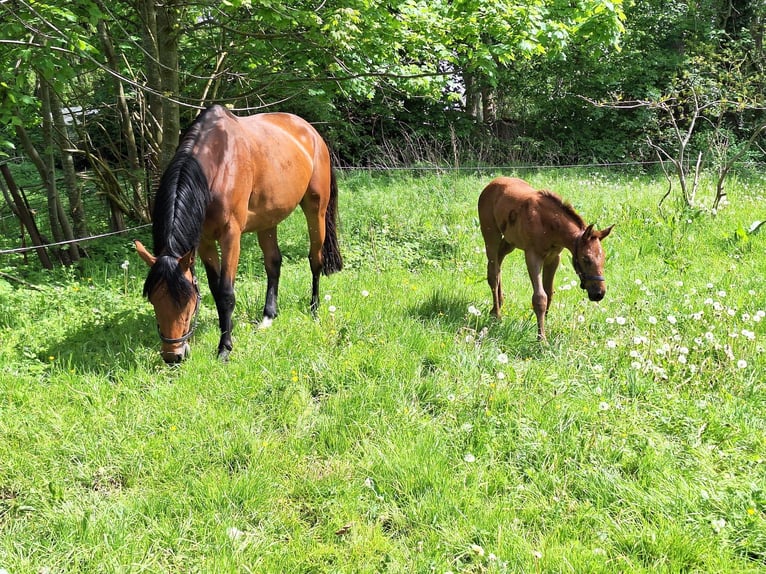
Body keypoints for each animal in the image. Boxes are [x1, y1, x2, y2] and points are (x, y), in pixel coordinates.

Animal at [136, 104, 344, 364]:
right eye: (154, 299)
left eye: (187, 301)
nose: (173, 356)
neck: (217, 165)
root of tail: (311, 132)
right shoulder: (204, 242)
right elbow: (216, 291)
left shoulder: (230, 236)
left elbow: (226, 293)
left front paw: (224, 348)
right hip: (268, 219)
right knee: (273, 263)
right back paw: (268, 316)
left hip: (316, 210)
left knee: (315, 259)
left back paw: (314, 308)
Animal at [476, 177, 616, 342]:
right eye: (586, 258)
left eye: (604, 258)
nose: (599, 293)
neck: (549, 225)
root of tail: (491, 184)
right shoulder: (533, 256)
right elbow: (540, 297)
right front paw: (541, 339)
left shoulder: (553, 258)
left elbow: (549, 292)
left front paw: (545, 325)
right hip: (491, 235)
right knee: (493, 273)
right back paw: (497, 315)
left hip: (510, 241)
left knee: (498, 263)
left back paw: (497, 305)